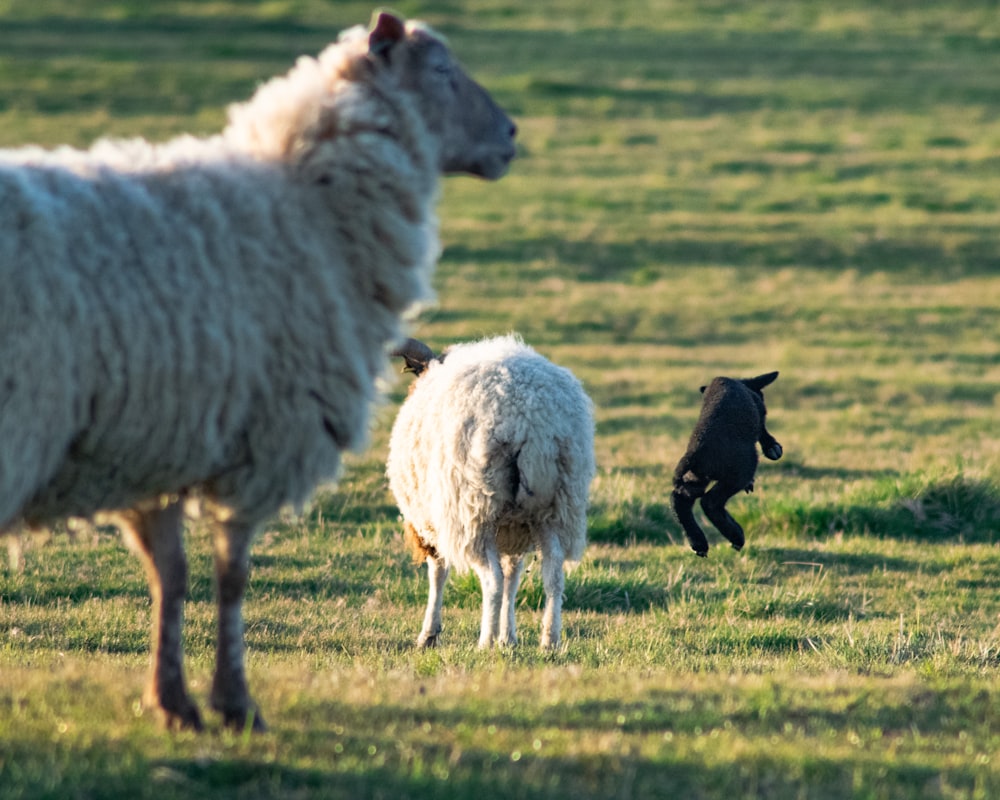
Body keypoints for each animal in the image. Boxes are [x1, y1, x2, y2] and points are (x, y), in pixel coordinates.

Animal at [0, 9, 516, 732]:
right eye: (442, 70)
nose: (512, 135)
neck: (309, 205)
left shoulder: (163, 439)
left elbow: (170, 577)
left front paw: (175, 703)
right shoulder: (265, 434)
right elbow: (230, 577)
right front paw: (233, 701)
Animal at [386, 332, 596, 648]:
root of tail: (528, 418)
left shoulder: (430, 522)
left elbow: (439, 572)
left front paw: (429, 635)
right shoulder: (513, 528)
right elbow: (514, 576)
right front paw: (508, 637)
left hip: (473, 510)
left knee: (492, 579)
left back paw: (484, 642)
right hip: (556, 507)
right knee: (553, 575)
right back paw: (549, 640)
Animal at [668, 374, 784, 556]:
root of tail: (695, 453)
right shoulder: (759, 411)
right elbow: (762, 429)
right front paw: (772, 447)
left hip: (696, 477)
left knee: (679, 499)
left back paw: (699, 543)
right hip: (739, 472)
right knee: (710, 502)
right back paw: (736, 537)